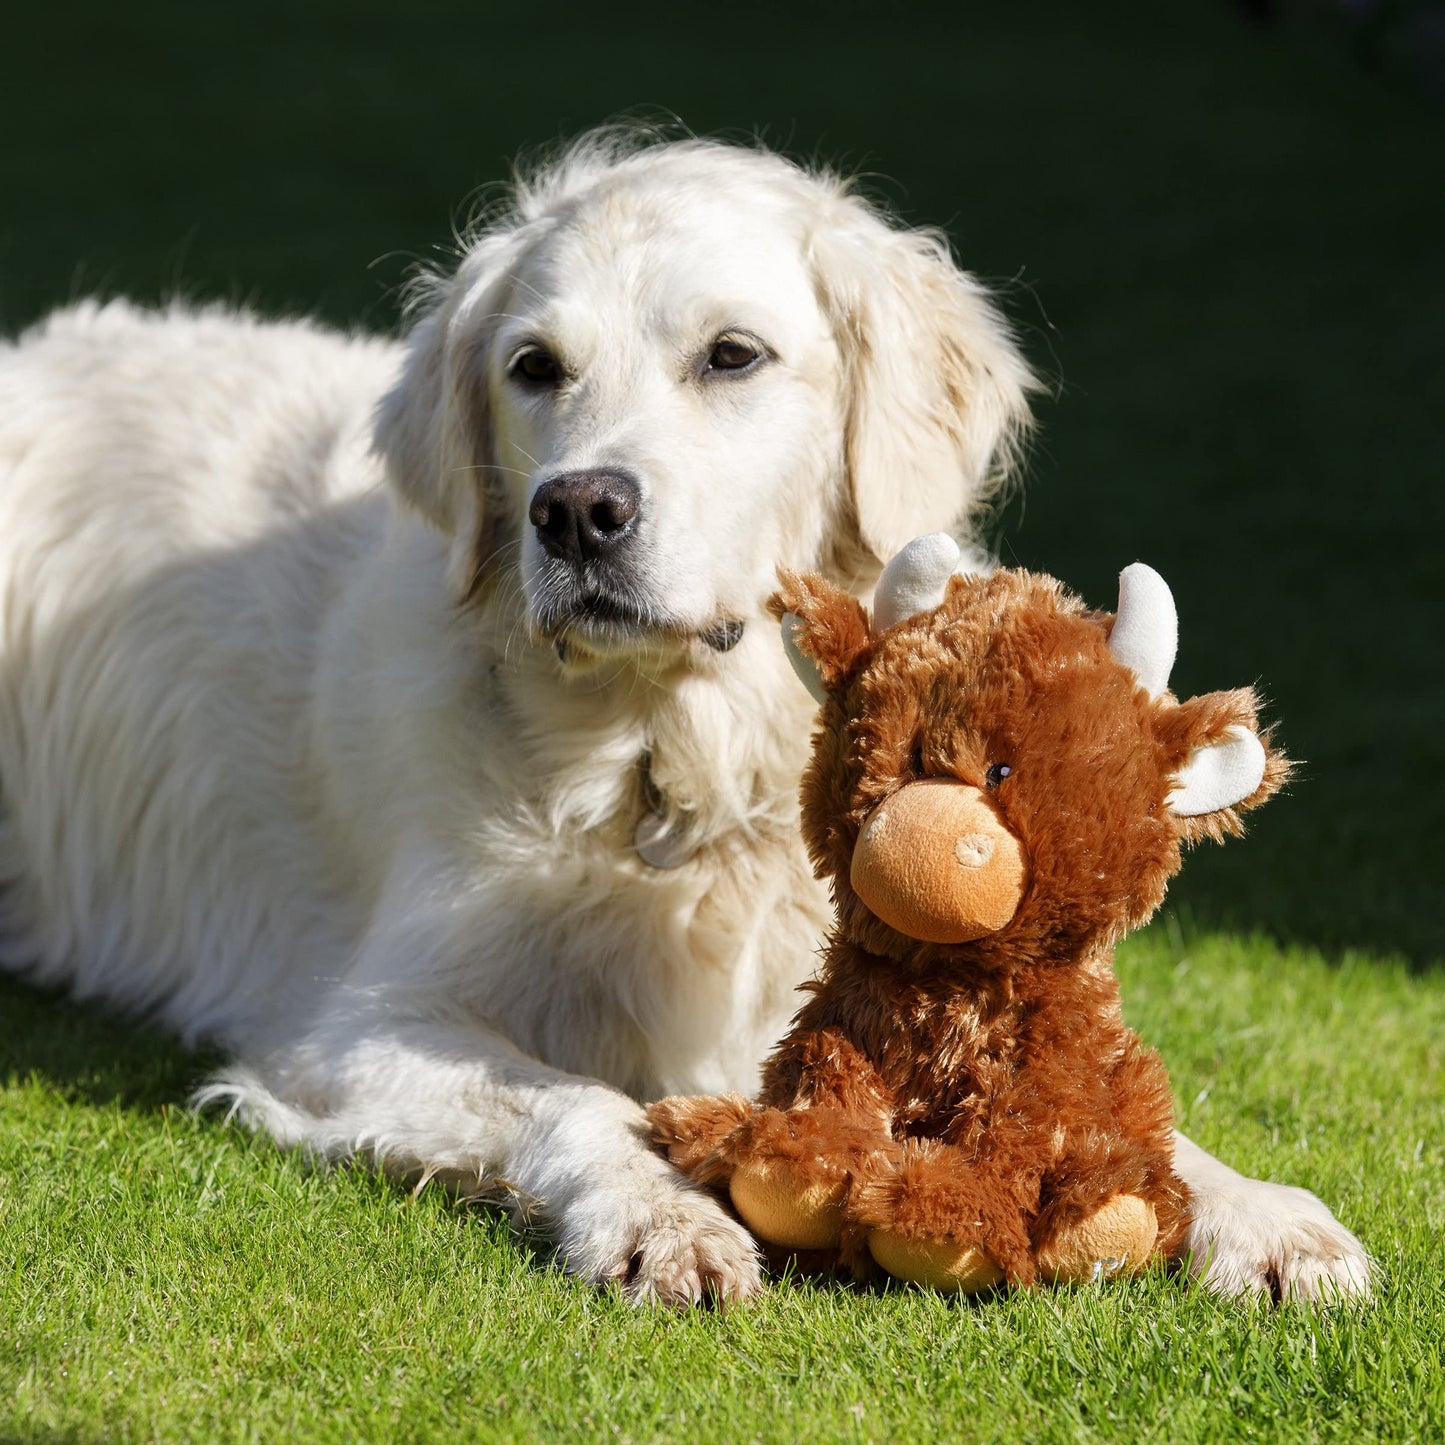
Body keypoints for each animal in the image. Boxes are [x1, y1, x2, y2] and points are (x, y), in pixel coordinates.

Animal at [0, 135, 1369, 1306]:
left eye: (731, 356)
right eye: (533, 367)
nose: (574, 512)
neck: (669, 757)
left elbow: (1122, 1110)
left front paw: (1264, 1212)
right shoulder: (357, 1020)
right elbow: (580, 1097)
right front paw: (662, 1218)